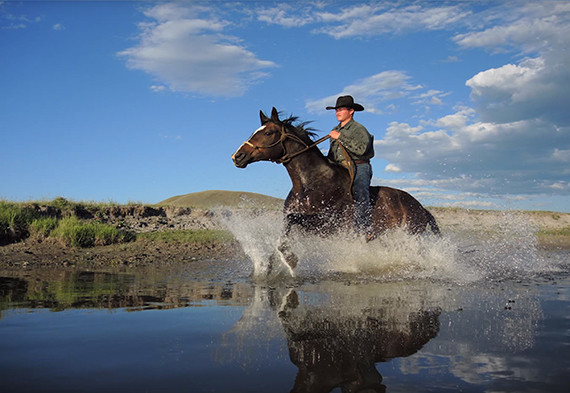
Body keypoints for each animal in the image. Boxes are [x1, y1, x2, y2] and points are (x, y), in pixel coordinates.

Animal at [229, 108, 438, 270]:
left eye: (269, 133)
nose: (237, 156)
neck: (308, 184)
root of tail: (421, 208)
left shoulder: (325, 224)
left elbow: (291, 221)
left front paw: (290, 259)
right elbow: (283, 231)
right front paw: (270, 266)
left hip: (409, 237)